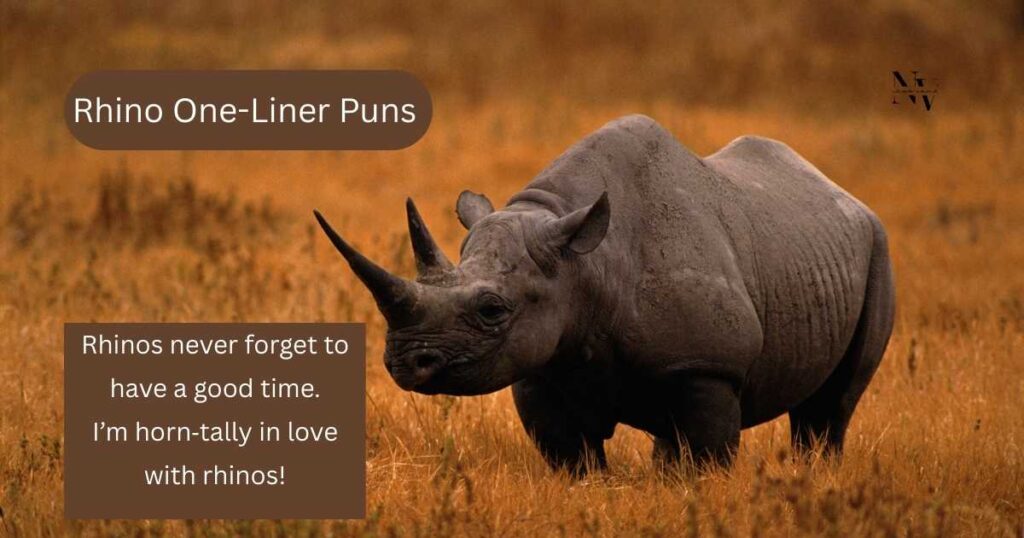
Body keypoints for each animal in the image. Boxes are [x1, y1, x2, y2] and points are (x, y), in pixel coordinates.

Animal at [314, 115, 894, 473]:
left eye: (491, 309)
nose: (404, 363)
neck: (584, 266)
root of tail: (839, 191)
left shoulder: (710, 364)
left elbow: (707, 457)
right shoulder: (541, 361)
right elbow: (572, 457)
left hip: (876, 245)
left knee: (830, 408)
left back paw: (816, 472)